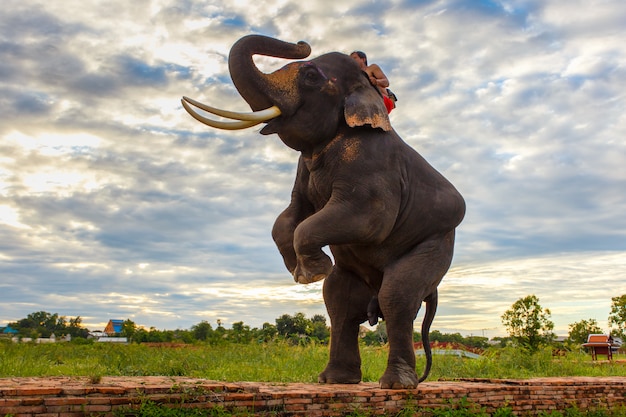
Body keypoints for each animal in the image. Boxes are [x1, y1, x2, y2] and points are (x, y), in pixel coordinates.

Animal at [180, 34, 464, 388]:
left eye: (311, 76)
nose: (302, 42)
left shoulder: (374, 165)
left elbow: (369, 219)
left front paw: (311, 273)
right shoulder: (303, 171)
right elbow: (290, 214)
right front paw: (301, 272)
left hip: (436, 244)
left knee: (396, 298)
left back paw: (396, 384)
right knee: (339, 302)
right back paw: (335, 380)